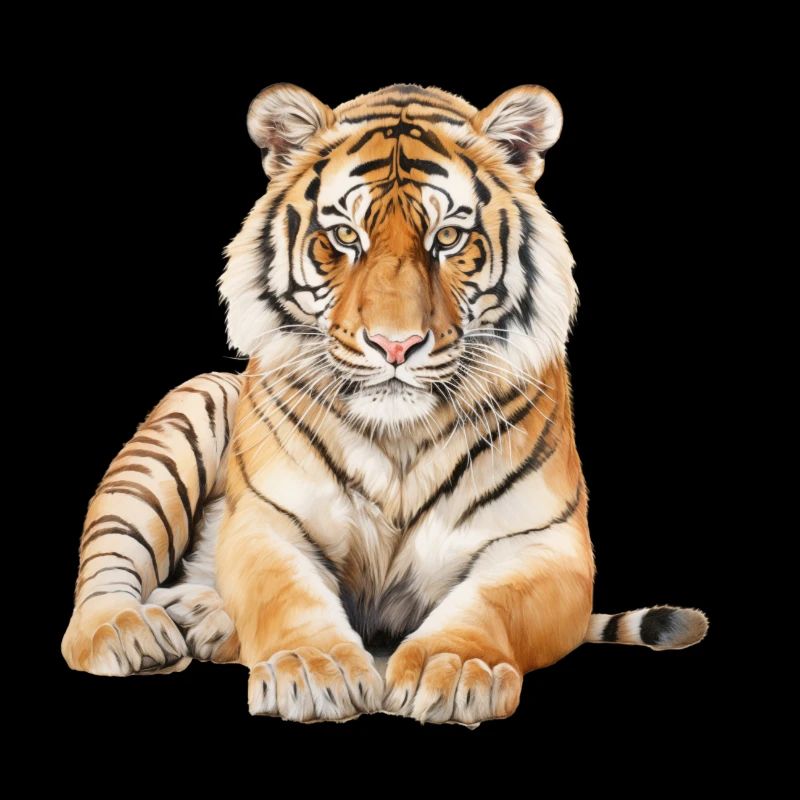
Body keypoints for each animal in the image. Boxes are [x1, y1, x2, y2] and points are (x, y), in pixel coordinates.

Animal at [61, 83, 708, 725]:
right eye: (346, 237)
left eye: (448, 238)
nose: (395, 344)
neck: (398, 440)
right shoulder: (267, 523)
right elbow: (287, 594)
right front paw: (313, 671)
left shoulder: (547, 544)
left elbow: (490, 603)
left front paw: (449, 670)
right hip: (181, 423)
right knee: (107, 563)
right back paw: (133, 632)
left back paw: (202, 619)